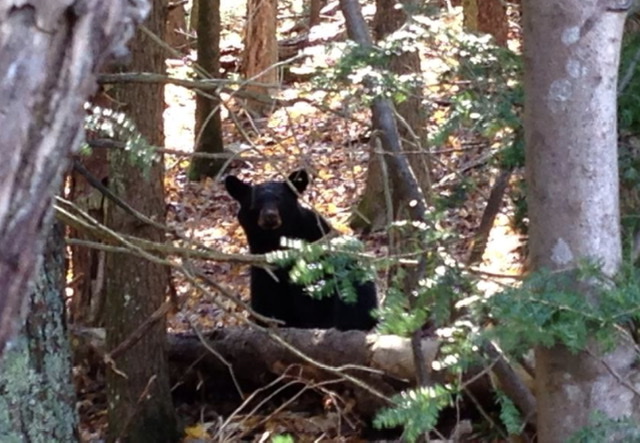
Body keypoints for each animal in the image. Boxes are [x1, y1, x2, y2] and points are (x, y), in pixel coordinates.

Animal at [224, 169, 377, 330]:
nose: (270, 216)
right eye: (256, 202)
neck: (276, 242)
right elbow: (267, 304)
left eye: (280, 199)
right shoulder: (262, 270)